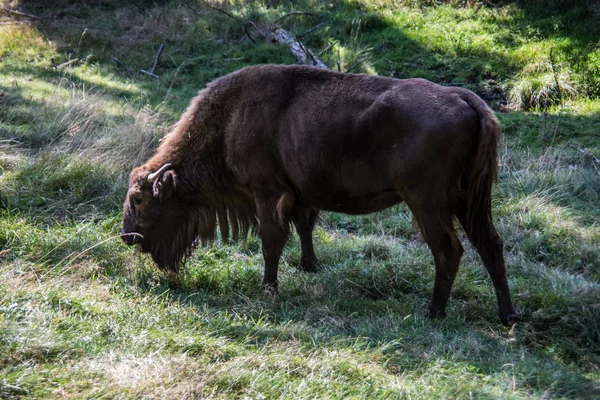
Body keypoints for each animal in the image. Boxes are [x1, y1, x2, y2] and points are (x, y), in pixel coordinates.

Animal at [120, 63, 520, 324]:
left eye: (139, 200)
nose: (127, 236)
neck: (231, 120)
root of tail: (469, 101)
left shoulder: (268, 194)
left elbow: (271, 242)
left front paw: (268, 288)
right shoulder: (299, 195)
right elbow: (304, 227)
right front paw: (309, 265)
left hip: (428, 202)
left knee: (448, 250)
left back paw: (433, 311)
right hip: (471, 201)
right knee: (491, 245)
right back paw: (508, 315)